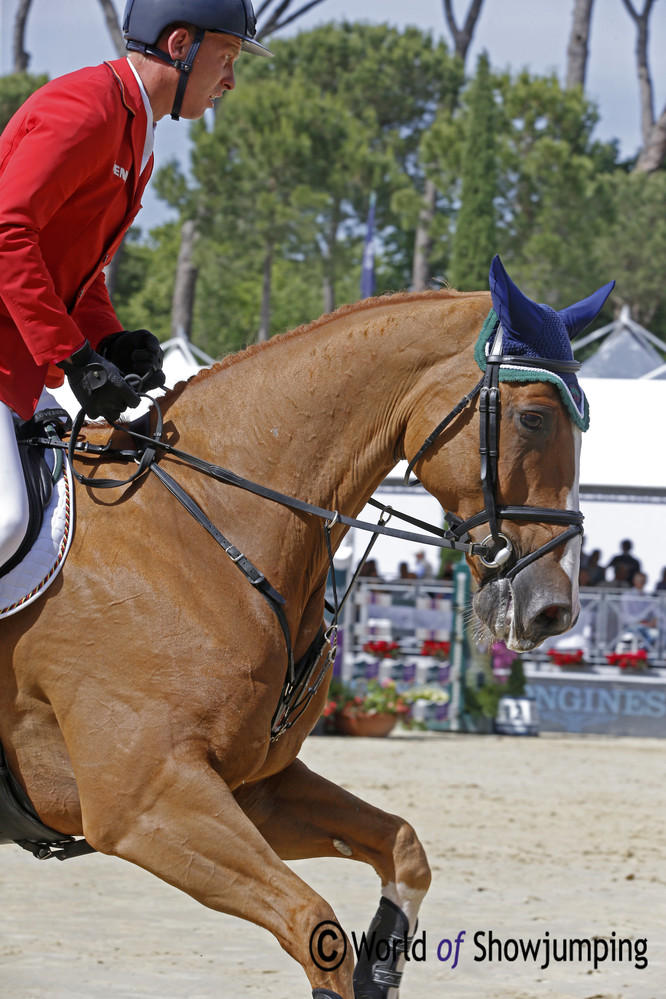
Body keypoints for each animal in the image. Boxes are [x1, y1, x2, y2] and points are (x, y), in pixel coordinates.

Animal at [0, 286, 580, 996]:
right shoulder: (145, 802)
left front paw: (382, 966)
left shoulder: (253, 788)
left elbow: (404, 850)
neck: (200, 528)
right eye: (534, 419)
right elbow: (313, 925)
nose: (553, 610)